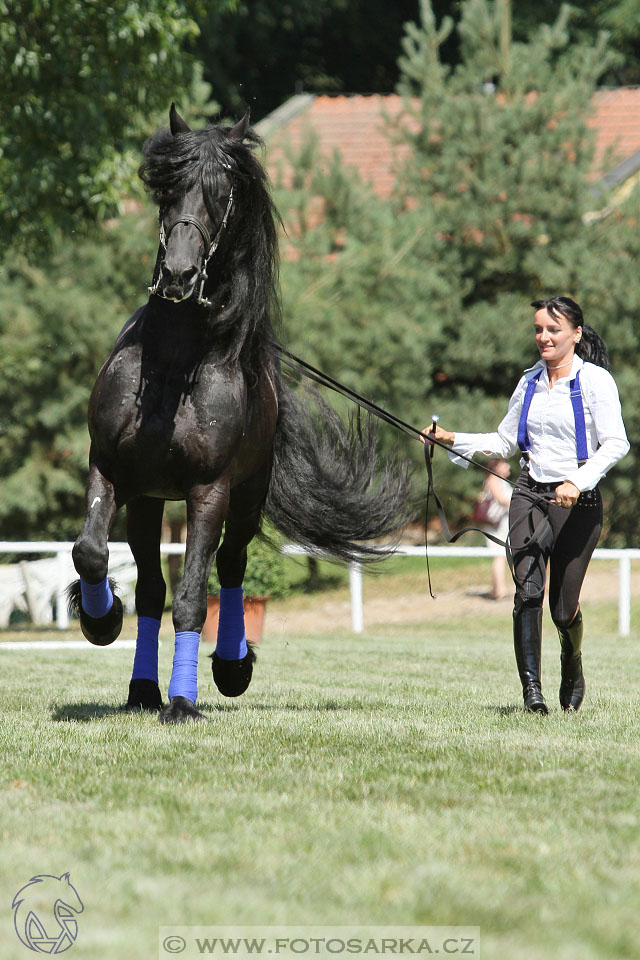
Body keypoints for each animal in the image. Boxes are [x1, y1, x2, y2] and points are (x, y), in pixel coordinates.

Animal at [70, 103, 410, 720]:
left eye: (222, 194)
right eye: (168, 187)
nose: (179, 276)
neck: (172, 366)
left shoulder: (210, 490)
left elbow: (192, 598)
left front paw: (184, 702)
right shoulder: (109, 467)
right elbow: (90, 552)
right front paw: (100, 619)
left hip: (246, 496)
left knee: (228, 568)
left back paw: (228, 669)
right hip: (149, 502)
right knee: (151, 590)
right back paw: (141, 689)